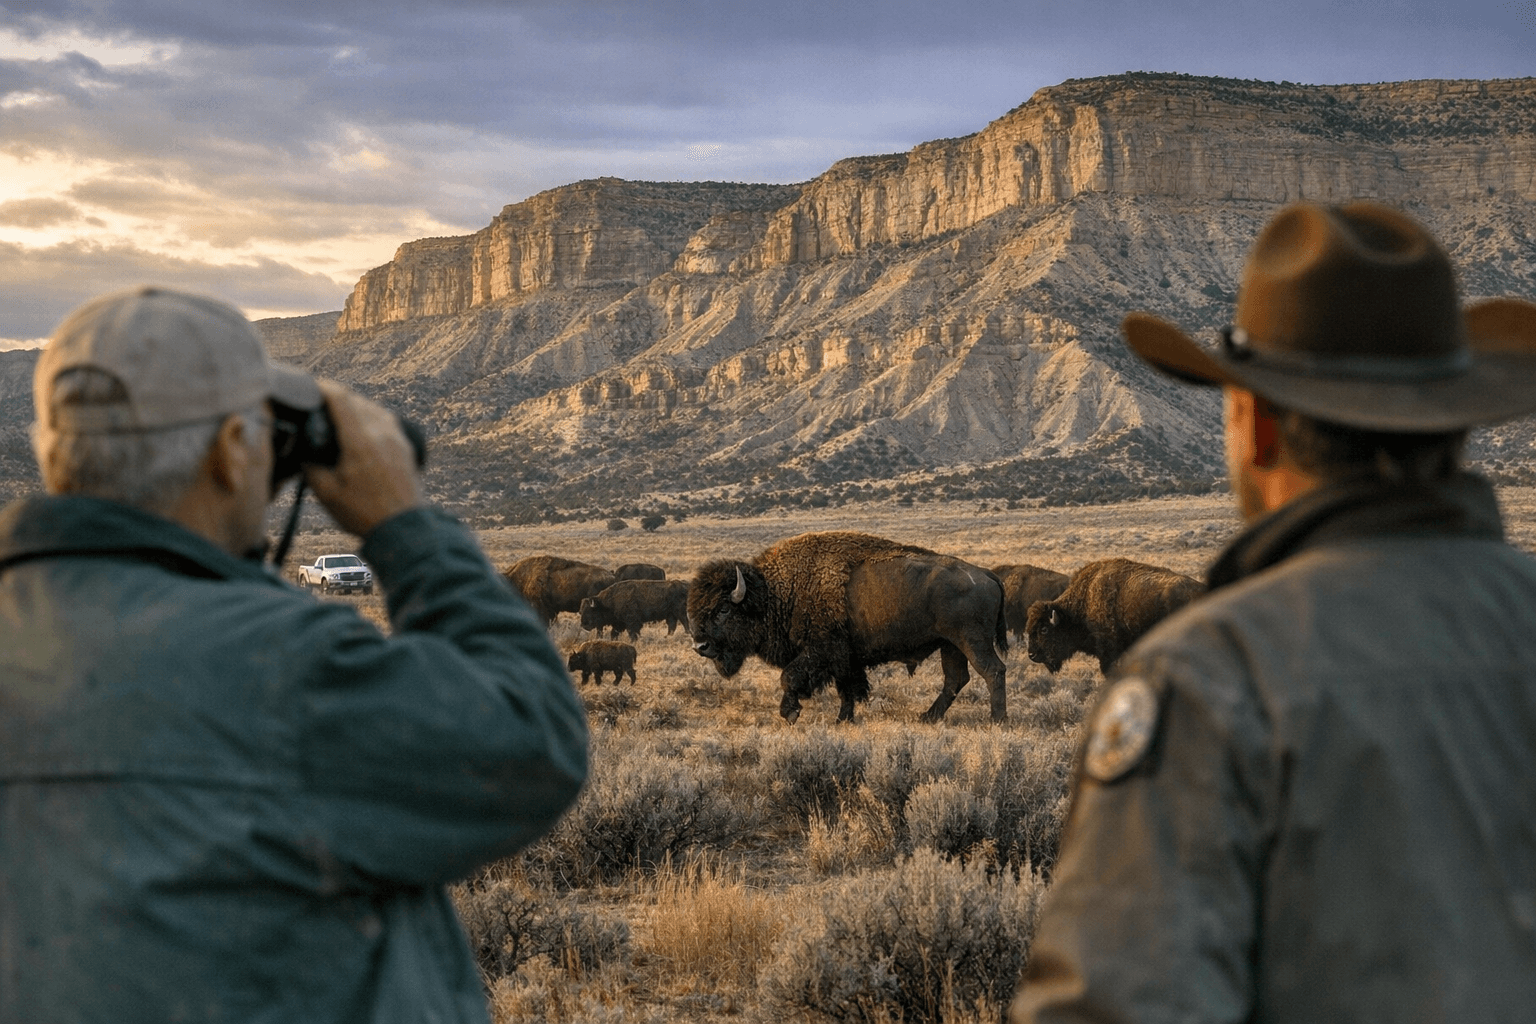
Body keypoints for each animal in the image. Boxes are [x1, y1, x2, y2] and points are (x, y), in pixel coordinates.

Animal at [688, 531, 1009, 724]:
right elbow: (847, 689)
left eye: (723, 609)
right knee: (956, 679)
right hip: (950, 645)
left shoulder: (821, 650)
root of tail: (986, 574)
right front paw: (844, 718)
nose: (700, 646)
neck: (774, 593)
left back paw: (997, 720)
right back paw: (927, 717)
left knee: (992, 671)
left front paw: (790, 713)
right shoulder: (845, 658)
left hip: (971, 641)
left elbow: (789, 677)